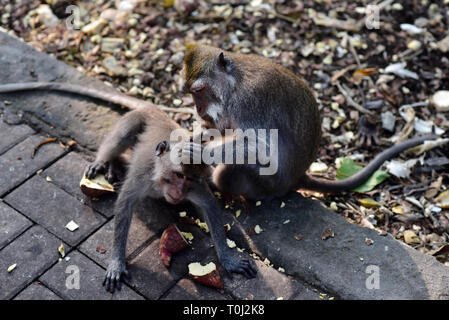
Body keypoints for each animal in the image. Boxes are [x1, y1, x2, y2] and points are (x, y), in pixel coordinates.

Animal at [180, 44, 436, 200]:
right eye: (191, 93)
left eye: (199, 91)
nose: (199, 109)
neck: (234, 82)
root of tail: (297, 177)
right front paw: (198, 133)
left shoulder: (249, 102)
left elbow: (259, 148)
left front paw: (201, 152)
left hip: (266, 184)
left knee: (232, 168)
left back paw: (216, 181)